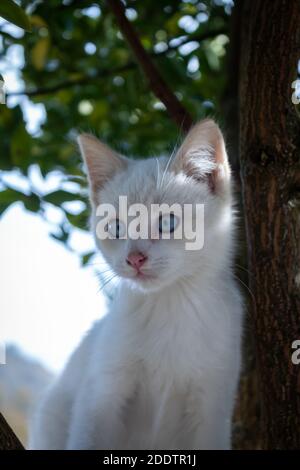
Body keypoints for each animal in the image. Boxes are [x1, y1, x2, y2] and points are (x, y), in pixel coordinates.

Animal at [29, 119, 243, 450]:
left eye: (167, 222)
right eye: (116, 227)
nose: (135, 258)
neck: (169, 304)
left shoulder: (211, 408)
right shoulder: (101, 396)